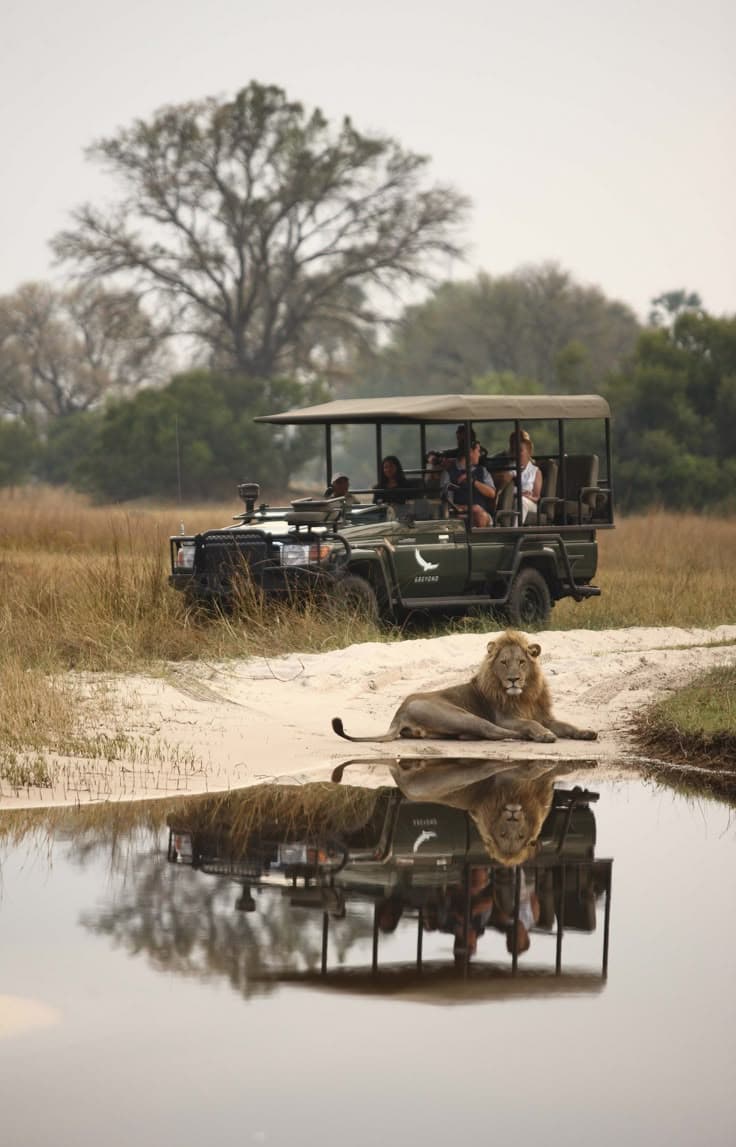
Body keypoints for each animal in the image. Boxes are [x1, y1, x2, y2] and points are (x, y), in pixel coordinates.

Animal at [331, 630, 597, 744]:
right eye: (504, 662)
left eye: (521, 662)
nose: (513, 679)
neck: (525, 695)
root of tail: (399, 712)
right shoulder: (506, 718)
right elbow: (530, 724)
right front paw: (543, 734)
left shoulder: (545, 716)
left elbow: (567, 725)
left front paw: (586, 732)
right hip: (462, 716)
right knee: (494, 731)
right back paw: (523, 737)